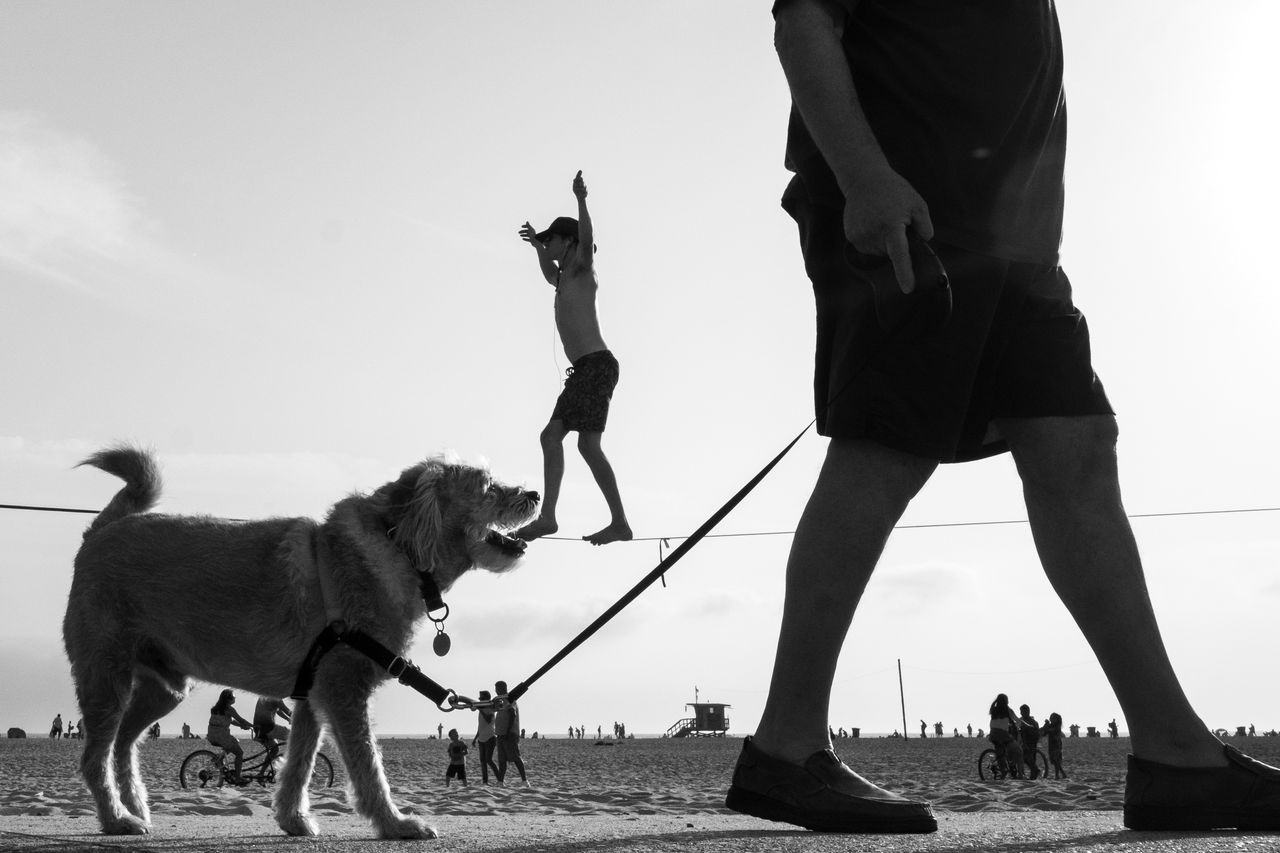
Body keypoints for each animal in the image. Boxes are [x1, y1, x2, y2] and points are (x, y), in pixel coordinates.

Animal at [62, 445, 540, 835]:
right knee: (95, 756)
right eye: (488, 485)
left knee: (123, 745)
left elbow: (300, 764)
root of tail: (101, 531)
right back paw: (116, 819)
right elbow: (368, 766)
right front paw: (395, 823)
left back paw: (136, 808)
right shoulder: (345, 691)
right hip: (106, 678)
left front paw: (293, 818)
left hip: (165, 687)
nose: (536, 494)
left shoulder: (312, 697)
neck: (397, 546)